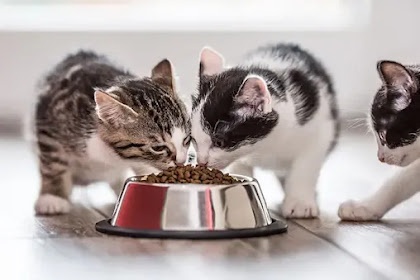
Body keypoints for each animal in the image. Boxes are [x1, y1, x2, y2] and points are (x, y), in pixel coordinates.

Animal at [30, 50, 190, 215]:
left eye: (186, 139)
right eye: (158, 148)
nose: (181, 161)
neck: (111, 154)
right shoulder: (47, 124)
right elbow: (53, 164)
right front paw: (52, 197)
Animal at [190, 43, 338, 219]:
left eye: (219, 141)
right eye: (193, 139)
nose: (201, 162)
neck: (265, 145)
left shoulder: (321, 129)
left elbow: (306, 166)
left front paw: (300, 203)